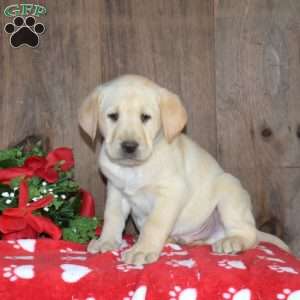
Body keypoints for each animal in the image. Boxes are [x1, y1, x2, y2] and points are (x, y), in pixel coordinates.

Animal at [79, 74, 288, 264]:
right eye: (113, 116)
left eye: (145, 117)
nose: (129, 146)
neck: (134, 169)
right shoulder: (116, 191)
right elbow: (112, 218)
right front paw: (106, 241)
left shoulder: (171, 192)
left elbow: (154, 224)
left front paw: (142, 250)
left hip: (229, 190)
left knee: (249, 234)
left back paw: (233, 240)